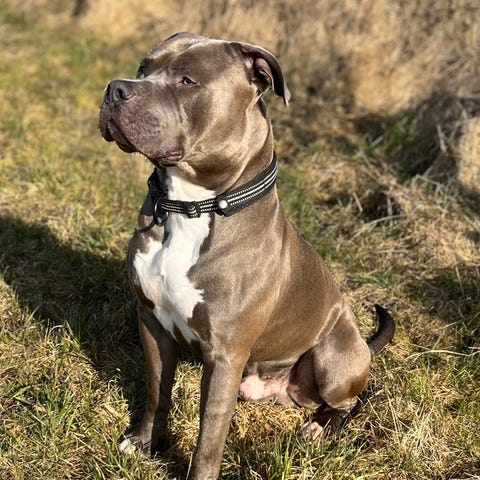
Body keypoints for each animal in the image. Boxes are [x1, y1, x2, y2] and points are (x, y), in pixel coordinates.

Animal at [99, 32, 395, 480]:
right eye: (143, 67)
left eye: (187, 80)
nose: (115, 89)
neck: (192, 206)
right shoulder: (151, 321)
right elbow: (157, 391)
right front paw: (145, 442)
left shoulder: (225, 355)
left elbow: (209, 436)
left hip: (333, 357)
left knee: (346, 402)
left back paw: (319, 426)